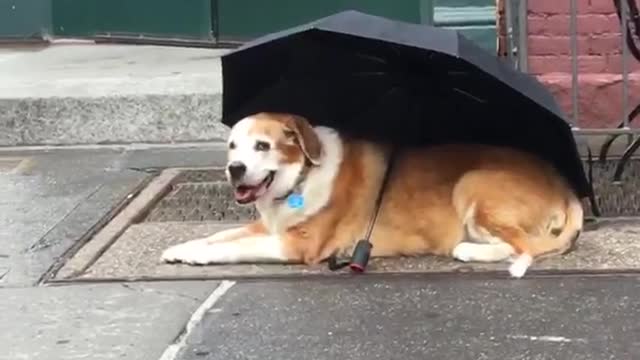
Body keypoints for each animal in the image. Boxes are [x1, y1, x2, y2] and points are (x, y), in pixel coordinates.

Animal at [161, 112, 584, 278]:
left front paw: (197, 256)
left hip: (473, 184)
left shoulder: (296, 245)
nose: (234, 169)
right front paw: (181, 247)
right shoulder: (269, 227)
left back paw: (468, 250)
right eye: (232, 146)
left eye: (262, 146)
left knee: (522, 246)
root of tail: (565, 187)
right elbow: (221, 234)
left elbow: (231, 246)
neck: (301, 178)